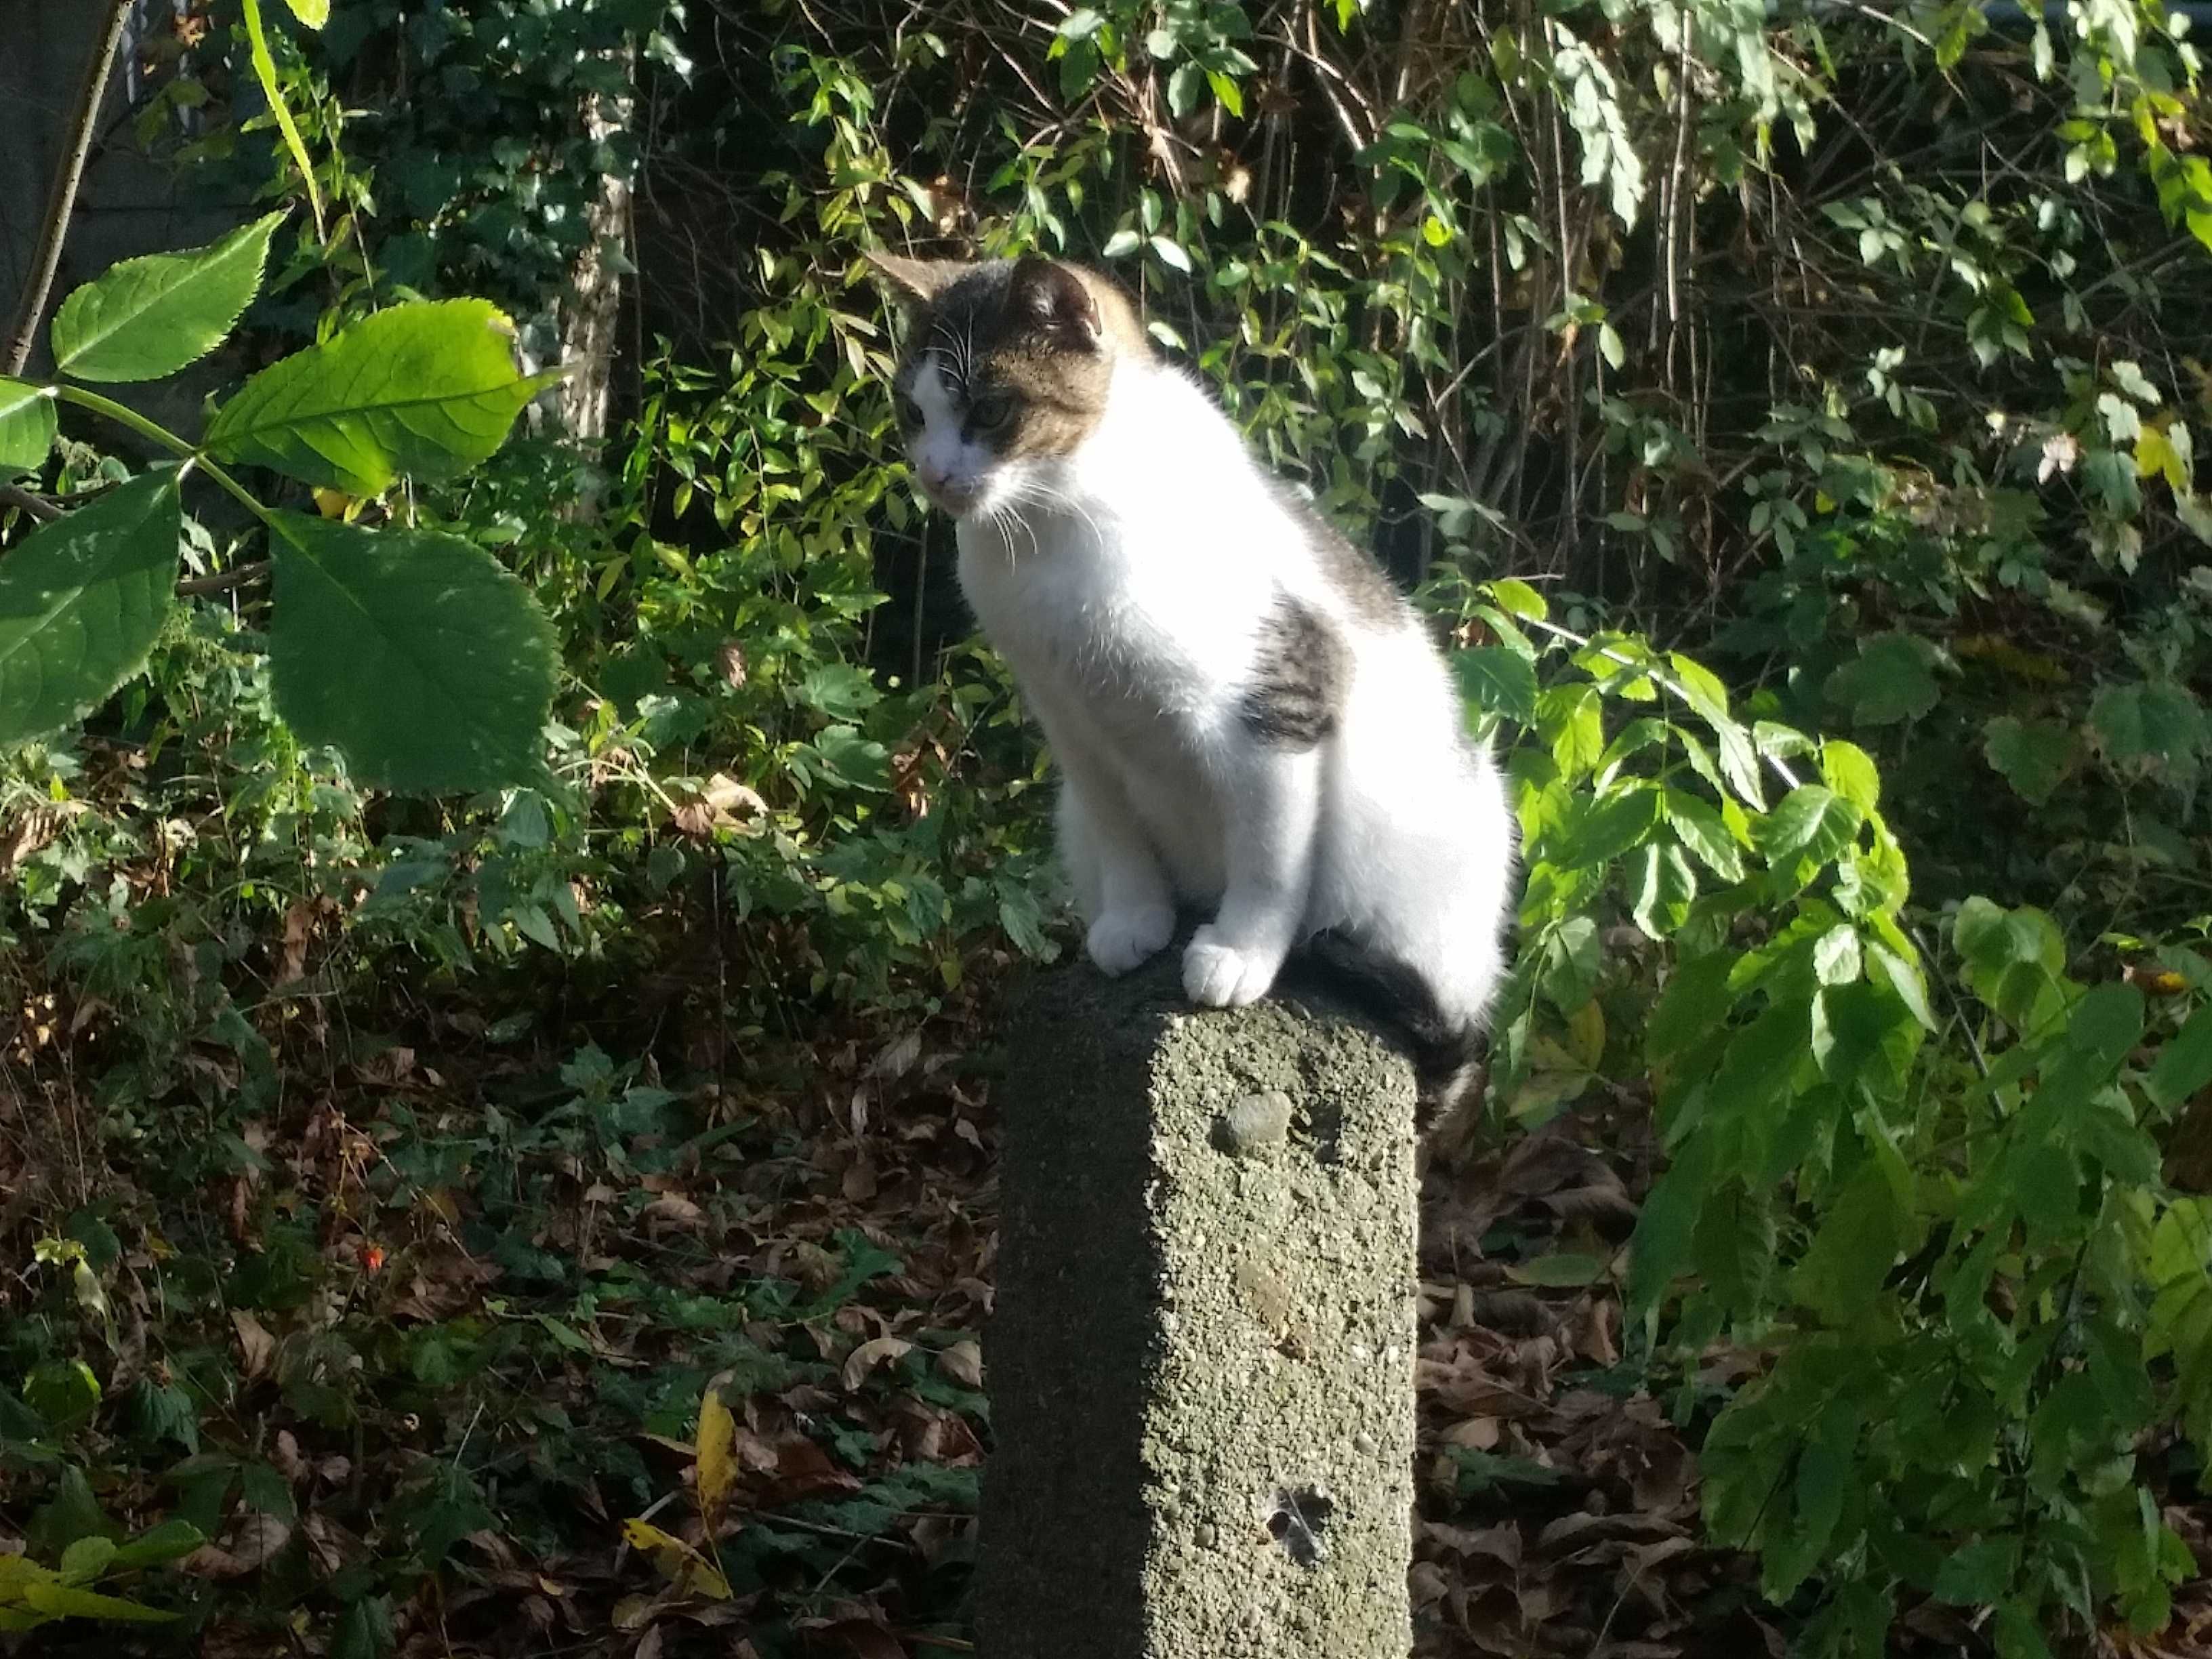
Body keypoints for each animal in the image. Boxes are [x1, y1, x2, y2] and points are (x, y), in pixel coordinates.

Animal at [862, 249, 1521, 1106]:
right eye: (913, 413)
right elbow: (1118, 827)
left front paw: (1240, 953)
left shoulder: (1280, 704)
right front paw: (1135, 919)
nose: (934, 476)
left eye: (992, 410)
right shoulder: (1068, 719)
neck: (1052, 530)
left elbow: (1270, 856)